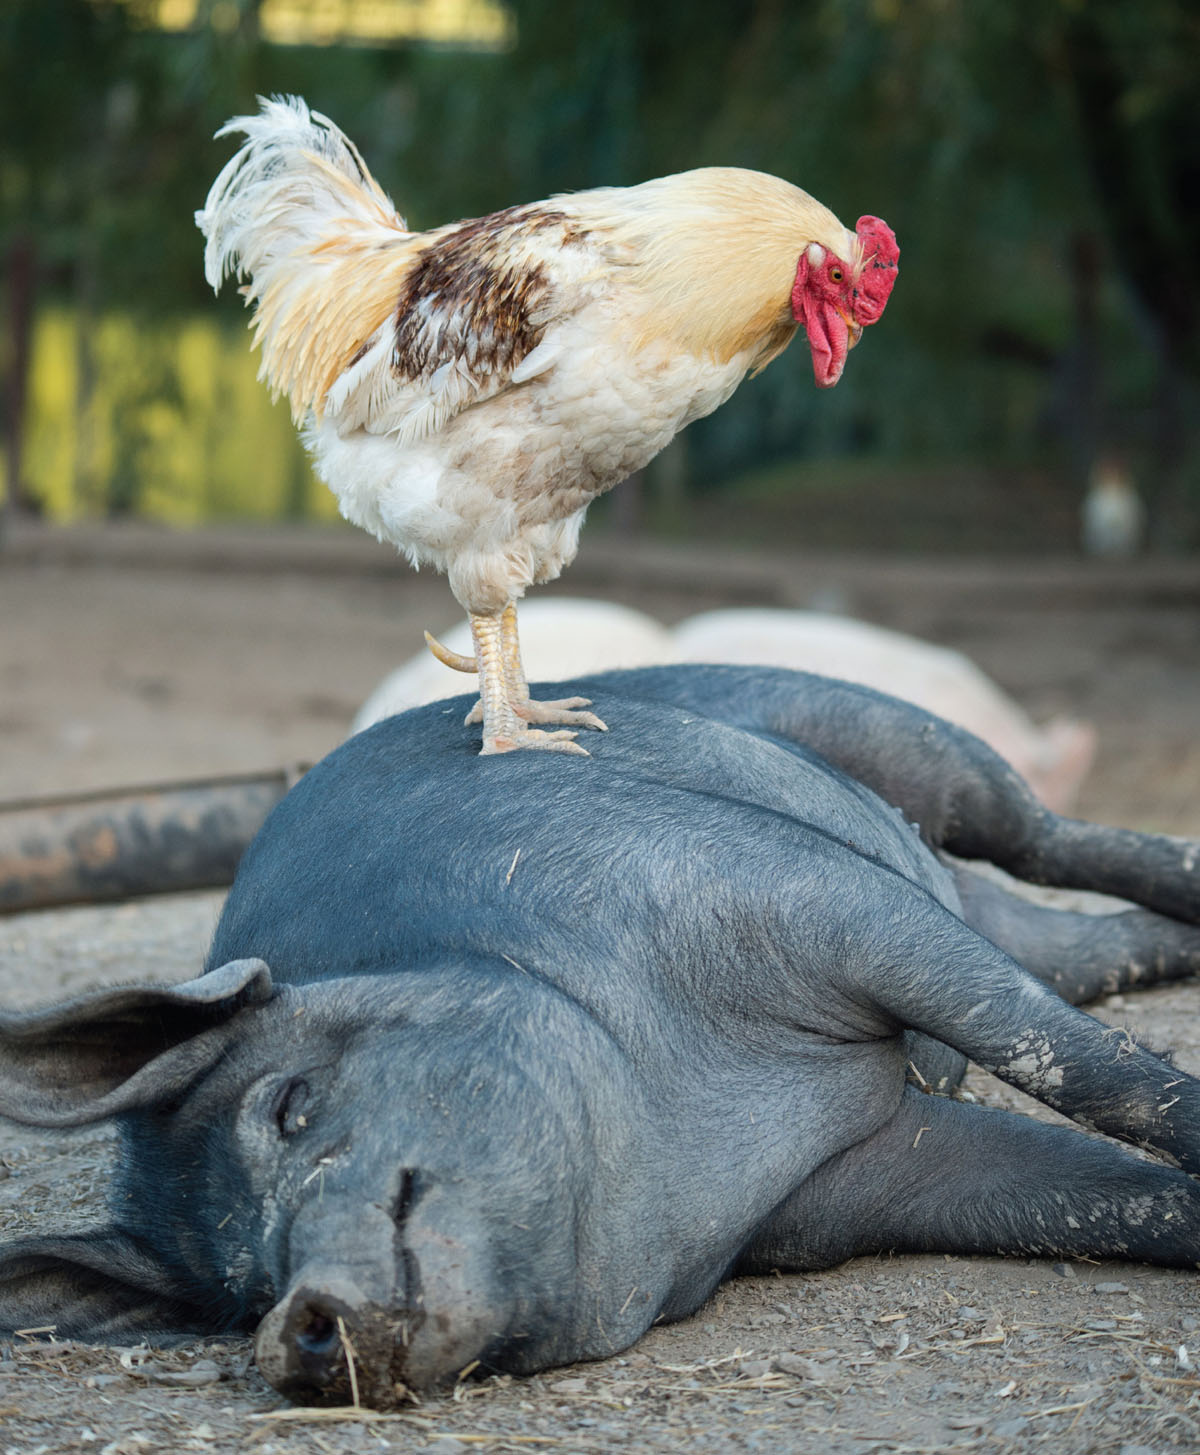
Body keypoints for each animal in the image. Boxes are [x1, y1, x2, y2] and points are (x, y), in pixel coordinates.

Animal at [2, 663, 1198, 1408]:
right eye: (239, 1289)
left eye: (291, 1107)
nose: (294, 1322)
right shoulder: (854, 1183)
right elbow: (1101, 1200)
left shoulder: (800, 896)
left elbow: (1078, 1065)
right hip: (998, 906)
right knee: (1082, 944)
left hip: (887, 734)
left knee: (1049, 840)